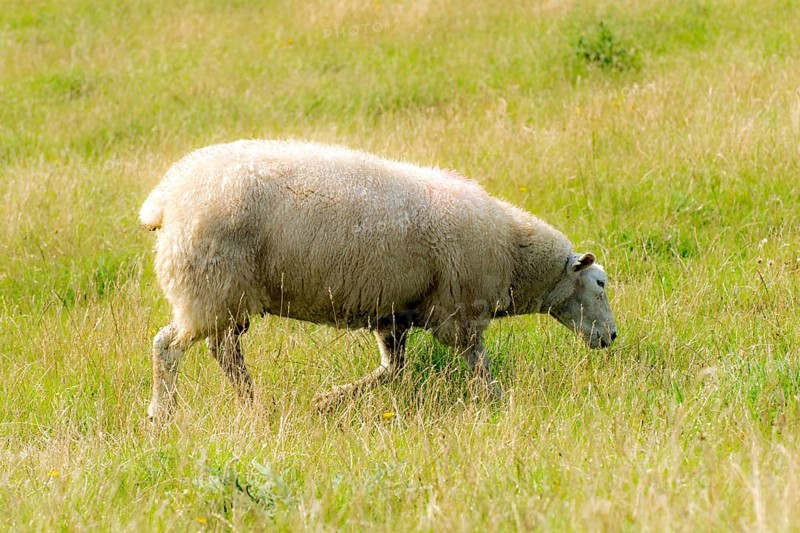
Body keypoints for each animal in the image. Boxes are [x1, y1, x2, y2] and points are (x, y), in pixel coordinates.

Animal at [139, 140, 617, 422]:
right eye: (600, 284)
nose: (612, 337)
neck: (512, 255)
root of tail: (166, 196)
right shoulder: (457, 315)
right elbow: (480, 366)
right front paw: (499, 402)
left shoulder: (395, 314)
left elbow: (393, 369)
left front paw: (329, 401)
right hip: (206, 286)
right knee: (167, 346)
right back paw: (162, 414)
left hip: (226, 296)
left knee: (225, 352)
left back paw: (254, 405)